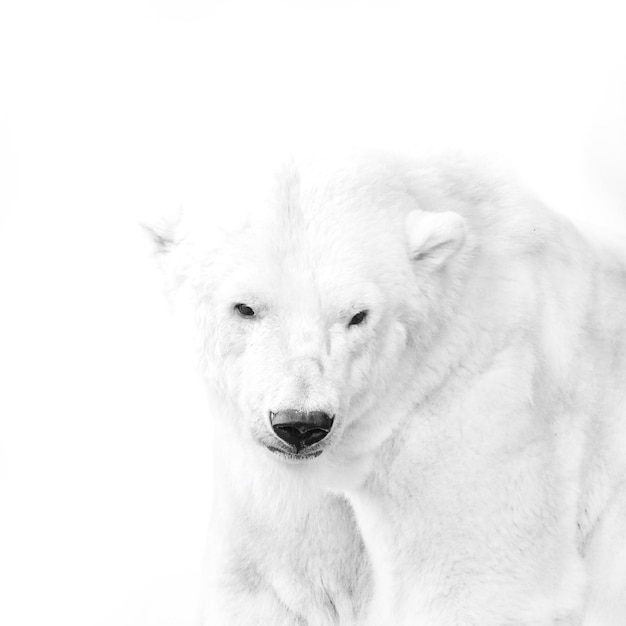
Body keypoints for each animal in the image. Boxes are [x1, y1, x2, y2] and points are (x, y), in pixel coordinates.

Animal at [149, 155, 624, 624]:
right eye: (245, 307)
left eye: (358, 315)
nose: (301, 424)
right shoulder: (270, 481)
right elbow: (276, 586)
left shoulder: (475, 402)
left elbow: (475, 578)